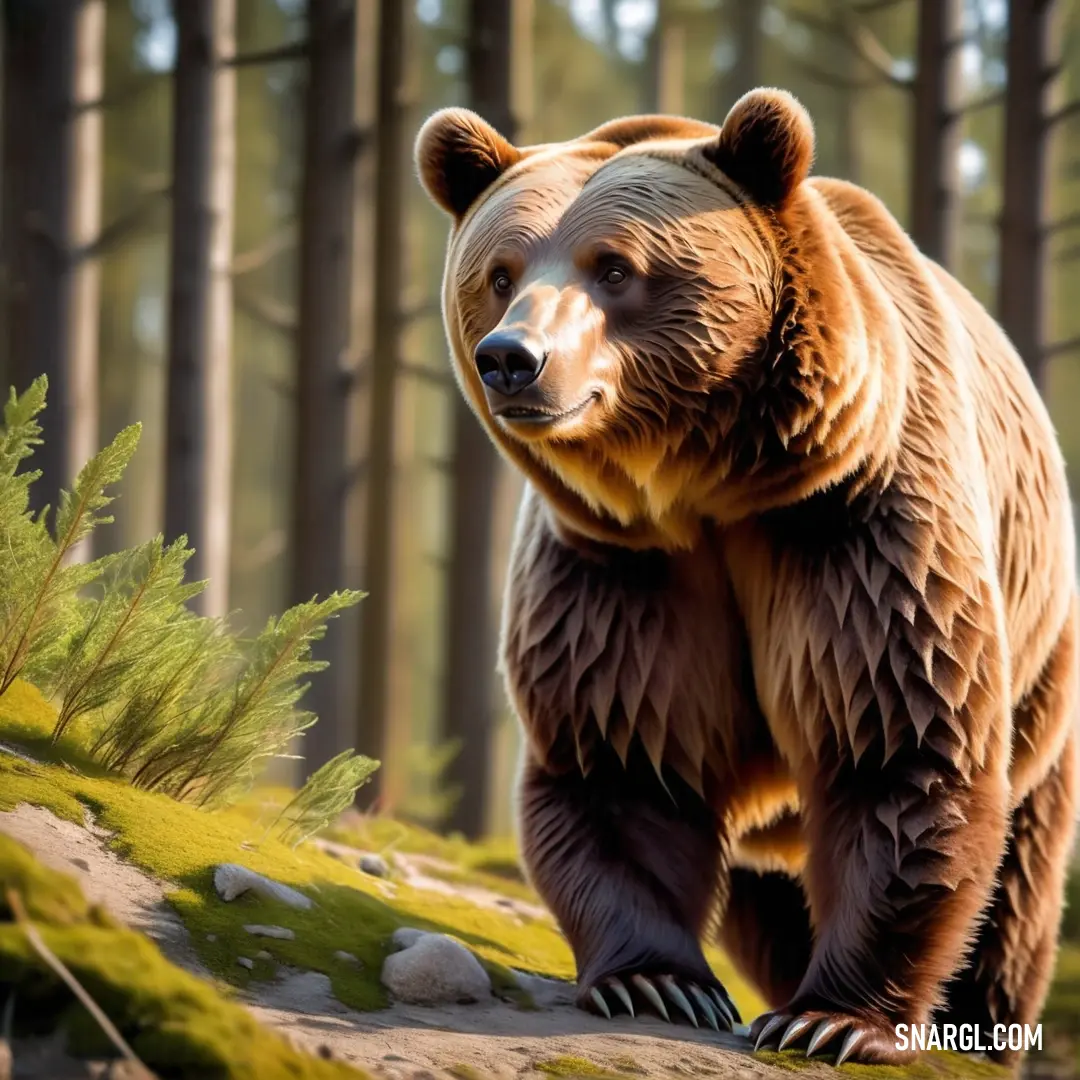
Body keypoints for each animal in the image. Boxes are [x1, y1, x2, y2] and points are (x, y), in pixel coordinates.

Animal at [414, 88, 1080, 1067]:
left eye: (614, 267)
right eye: (500, 272)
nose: (512, 357)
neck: (704, 485)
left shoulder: (853, 524)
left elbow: (893, 742)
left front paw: (832, 1019)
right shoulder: (620, 567)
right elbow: (627, 758)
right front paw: (660, 983)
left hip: (1045, 668)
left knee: (1022, 870)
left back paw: (985, 1022)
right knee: (770, 892)